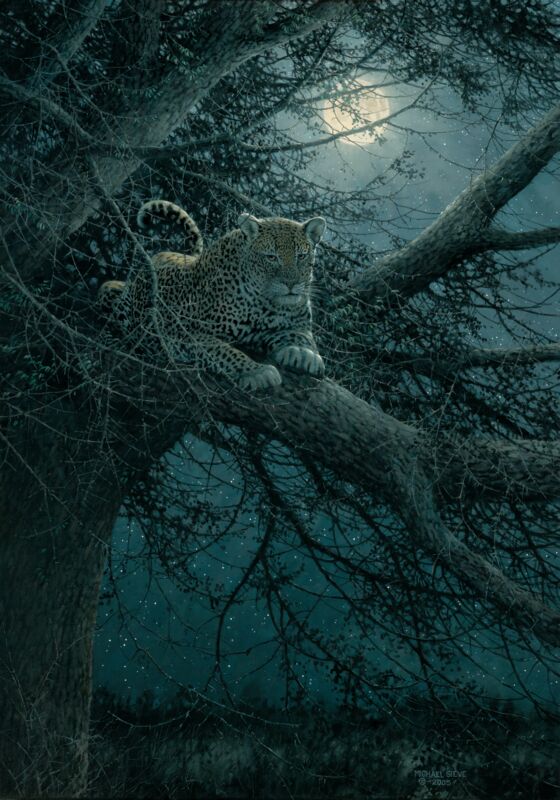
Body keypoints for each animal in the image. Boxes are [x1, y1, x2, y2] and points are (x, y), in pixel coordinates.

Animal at [98, 200, 326, 391]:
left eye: (301, 256)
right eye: (271, 257)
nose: (292, 284)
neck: (264, 304)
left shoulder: (293, 322)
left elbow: (302, 335)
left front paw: (303, 354)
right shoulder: (180, 332)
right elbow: (221, 350)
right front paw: (256, 371)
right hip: (114, 291)